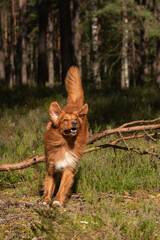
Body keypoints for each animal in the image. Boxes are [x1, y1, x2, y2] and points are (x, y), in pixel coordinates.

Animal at [42, 66, 89, 206]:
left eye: (75, 119)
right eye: (65, 120)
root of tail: (74, 105)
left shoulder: (69, 167)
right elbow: (49, 186)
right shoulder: (52, 167)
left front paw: (57, 201)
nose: (74, 123)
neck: (64, 143)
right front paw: (46, 200)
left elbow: (62, 187)